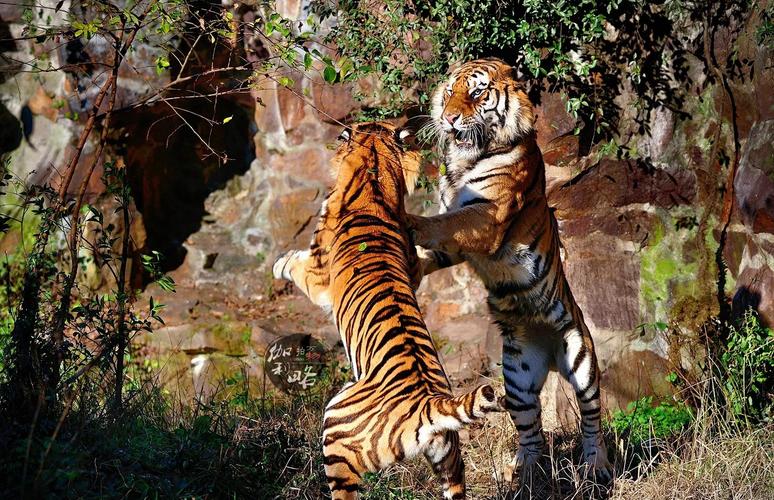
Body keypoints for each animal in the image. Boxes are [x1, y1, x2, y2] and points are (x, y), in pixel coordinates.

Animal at [272, 121, 505, 499]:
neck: (375, 171)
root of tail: (428, 406)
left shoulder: (318, 277)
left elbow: (295, 264)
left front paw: (279, 263)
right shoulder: (414, 264)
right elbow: (428, 255)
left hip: (335, 428)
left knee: (344, 488)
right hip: (450, 460)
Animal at [407, 58, 612, 481]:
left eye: (477, 93)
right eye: (449, 92)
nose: (449, 118)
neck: (464, 160)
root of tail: (550, 357)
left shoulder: (487, 215)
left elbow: (443, 224)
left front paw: (408, 220)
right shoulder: (460, 237)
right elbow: (440, 245)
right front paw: (415, 265)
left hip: (582, 360)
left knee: (592, 419)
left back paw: (594, 466)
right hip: (517, 377)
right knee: (531, 430)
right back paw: (523, 472)